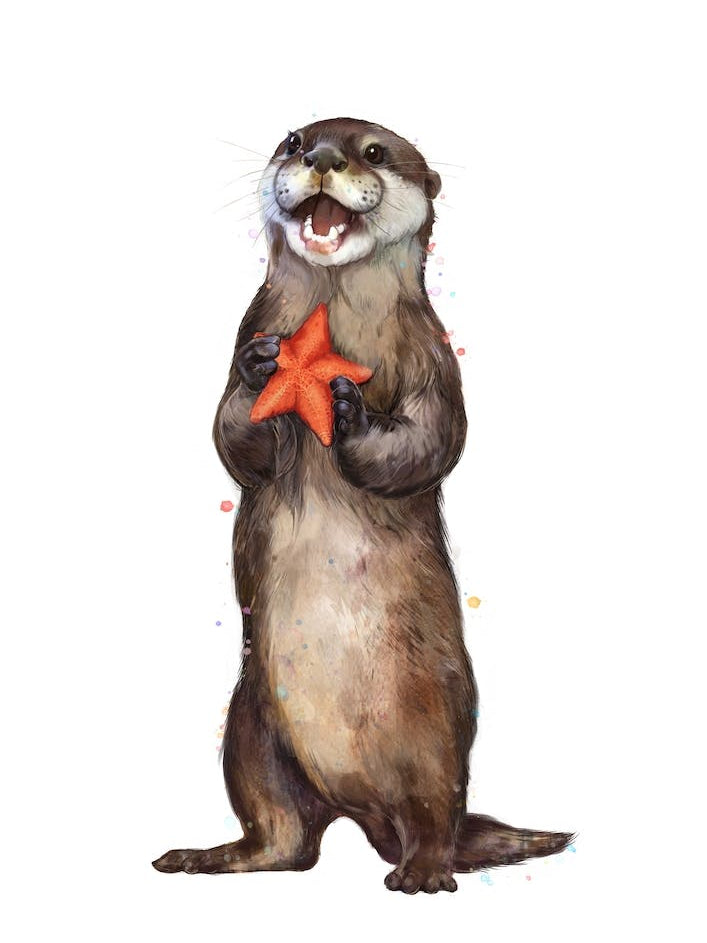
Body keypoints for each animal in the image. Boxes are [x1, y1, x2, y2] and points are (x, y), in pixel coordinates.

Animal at [153, 117, 572, 894]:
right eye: (294, 140)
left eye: (374, 152)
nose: (321, 158)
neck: (337, 322)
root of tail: (354, 804)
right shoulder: (247, 328)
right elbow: (232, 436)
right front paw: (262, 373)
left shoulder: (435, 358)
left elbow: (433, 441)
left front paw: (349, 413)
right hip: (251, 731)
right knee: (285, 841)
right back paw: (208, 857)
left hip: (435, 726)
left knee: (433, 814)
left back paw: (422, 873)